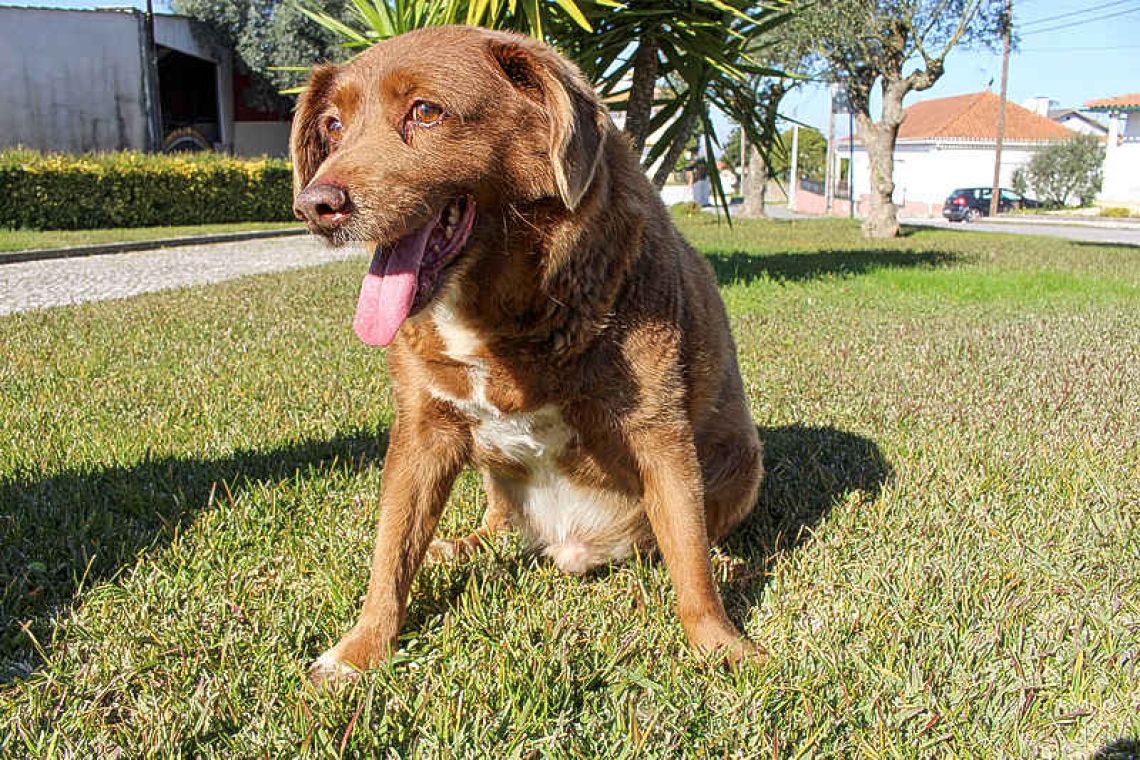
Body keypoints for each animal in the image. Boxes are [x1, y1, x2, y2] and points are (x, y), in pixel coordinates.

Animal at [289, 26, 761, 688]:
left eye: (426, 112)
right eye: (332, 126)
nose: (315, 206)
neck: (497, 312)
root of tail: (570, 543)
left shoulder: (659, 432)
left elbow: (689, 560)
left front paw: (722, 646)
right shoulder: (422, 430)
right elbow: (391, 551)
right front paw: (361, 650)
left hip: (743, 461)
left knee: (689, 536)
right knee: (496, 527)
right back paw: (459, 545)